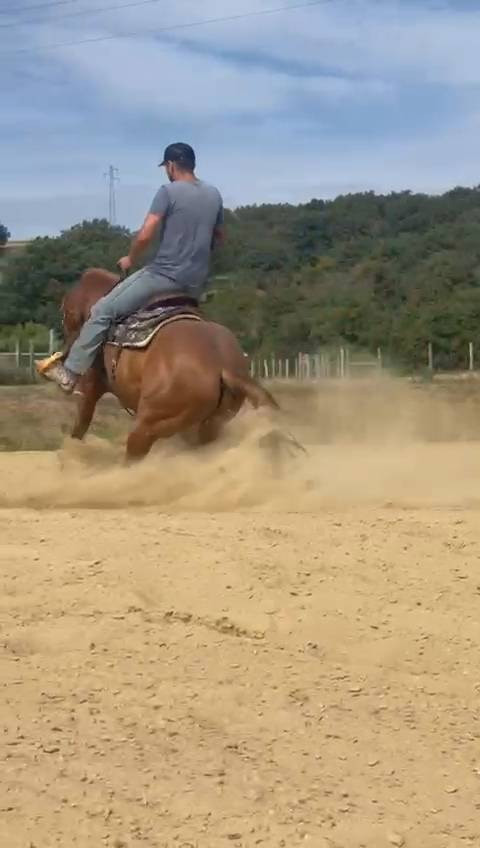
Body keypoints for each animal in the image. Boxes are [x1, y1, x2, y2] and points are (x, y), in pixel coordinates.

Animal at [37, 268, 281, 462]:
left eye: (64, 312)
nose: (65, 341)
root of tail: (224, 368)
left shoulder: (91, 386)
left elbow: (80, 426)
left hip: (148, 425)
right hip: (207, 426)